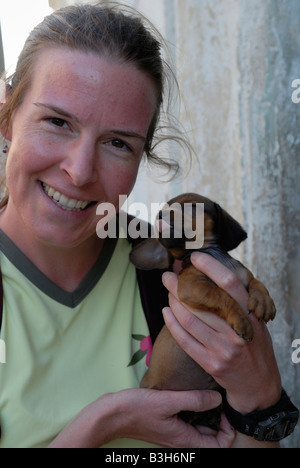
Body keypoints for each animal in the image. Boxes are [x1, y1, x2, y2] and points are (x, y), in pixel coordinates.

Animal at [130, 193, 276, 428]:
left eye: (190, 206)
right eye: (162, 210)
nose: (160, 215)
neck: (214, 256)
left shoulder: (243, 276)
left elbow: (256, 281)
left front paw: (263, 301)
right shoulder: (192, 286)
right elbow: (222, 295)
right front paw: (241, 320)